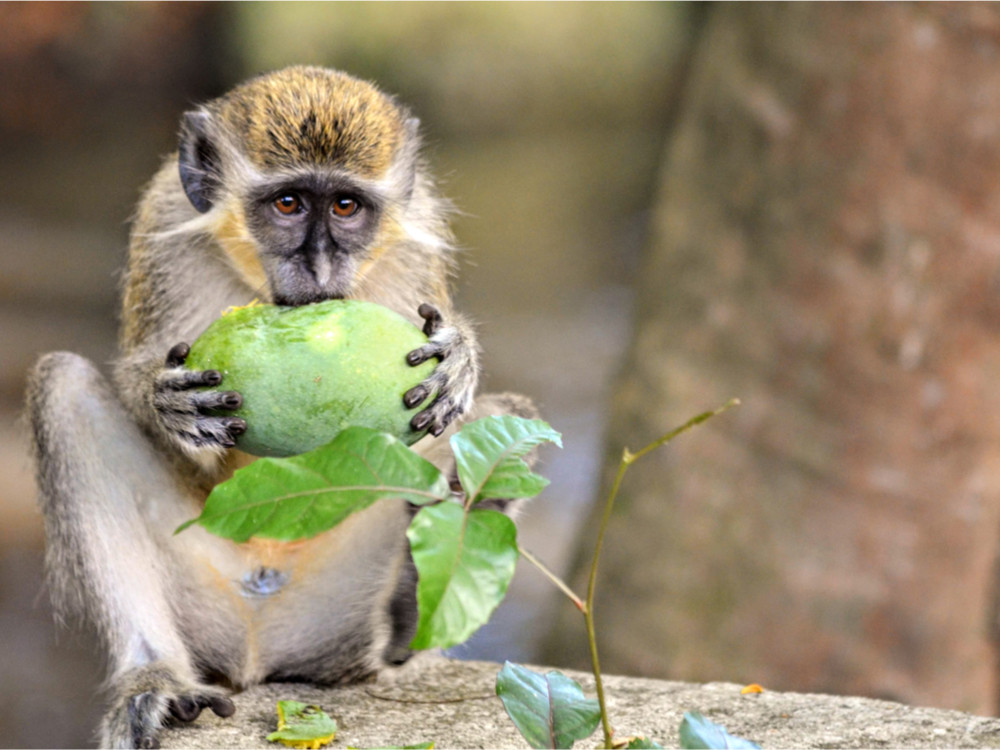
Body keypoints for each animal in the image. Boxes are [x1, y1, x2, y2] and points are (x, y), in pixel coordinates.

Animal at [23, 67, 536, 748]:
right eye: (287, 205)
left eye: (346, 206)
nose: (317, 265)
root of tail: (261, 652)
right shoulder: (163, 216)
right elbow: (133, 375)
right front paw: (166, 402)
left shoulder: (416, 232)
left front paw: (460, 354)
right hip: (206, 595)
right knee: (62, 385)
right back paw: (153, 679)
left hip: (335, 613)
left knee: (503, 424)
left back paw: (405, 616)